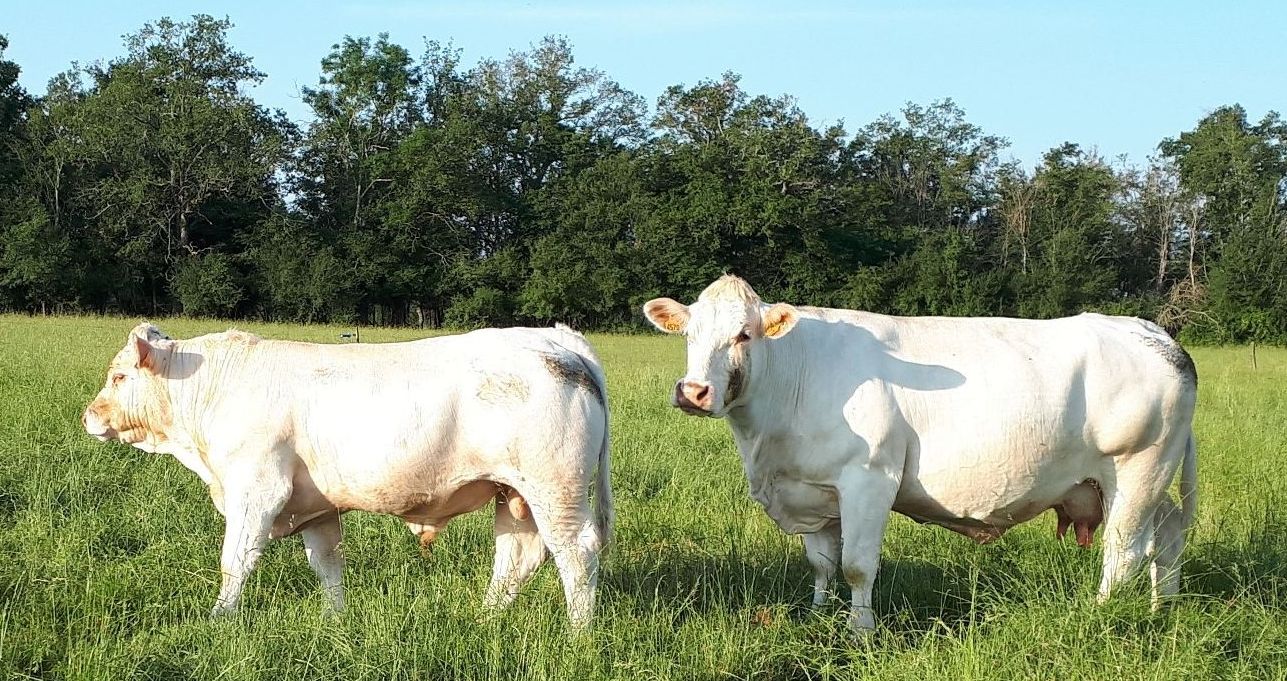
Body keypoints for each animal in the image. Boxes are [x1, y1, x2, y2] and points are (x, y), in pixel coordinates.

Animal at [82, 322, 612, 628]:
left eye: (119, 377)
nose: (89, 416)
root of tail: (554, 338)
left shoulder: (256, 488)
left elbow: (237, 559)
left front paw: (219, 619)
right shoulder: (316, 506)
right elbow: (327, 565)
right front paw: (335, 620)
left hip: (556, 489)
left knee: (577, 555)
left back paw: (578, 634)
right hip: (515, 495)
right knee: (518, 557)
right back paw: (484, 620)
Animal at [644, 275, 1197, 633]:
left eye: (743, 334)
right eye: (690, 334)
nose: (693, 392)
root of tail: (1153, 332)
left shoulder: (869, 479)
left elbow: (857, 566)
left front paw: (860, 632)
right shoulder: (812, 488)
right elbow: (821, 564)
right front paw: (819, 616)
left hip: (1139, 468)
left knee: (1123, 552)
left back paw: (1102, 614)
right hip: (1136, 482)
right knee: (1165, 535)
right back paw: (1161, 609)